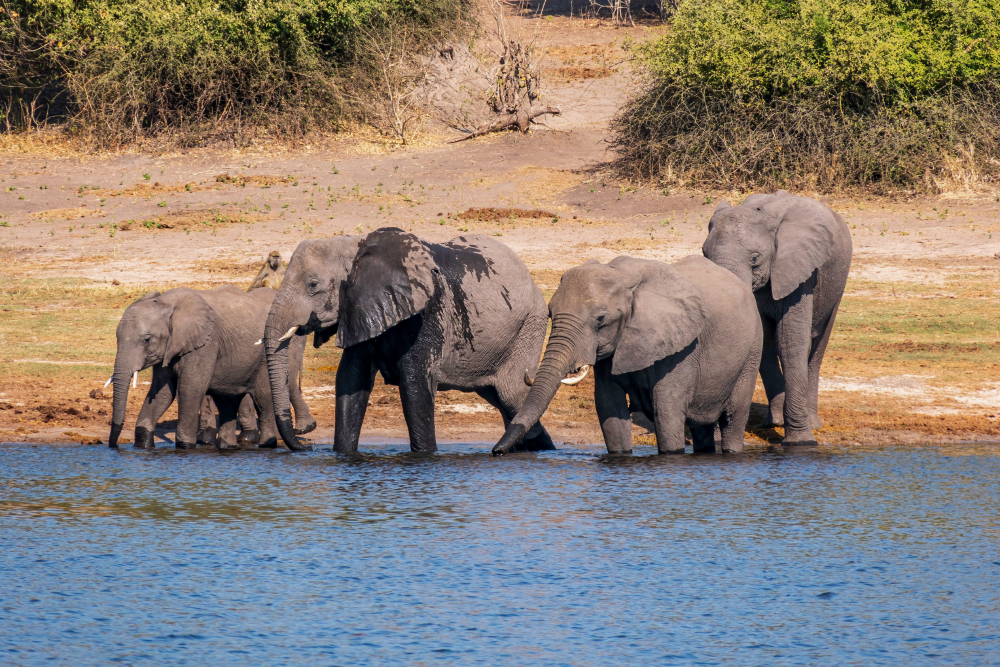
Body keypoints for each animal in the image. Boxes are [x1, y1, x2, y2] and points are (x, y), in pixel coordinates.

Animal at [109, 286, 312, 448]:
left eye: (147, 339)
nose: (113, 446)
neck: (167, 304)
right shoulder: (168, 349)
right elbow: (162, 393)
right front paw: (143, 444)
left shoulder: (205, 344)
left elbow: (190, 389)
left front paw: (185, 445)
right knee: (227, 403)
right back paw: (227, 446)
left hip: (267, 356)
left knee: (263, 399)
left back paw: (268, 444)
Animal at [266, 228, 556, 454]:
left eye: (313, 285)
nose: (305, 446)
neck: (353, 246)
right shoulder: (360, 308)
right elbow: (351, 380)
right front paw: (343, 454)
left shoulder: (426, 313)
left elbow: (414, 383)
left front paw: (424, 456)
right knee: (504, 400)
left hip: (529, 325)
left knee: (513, 394)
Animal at [496, 253, 760, 456]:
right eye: (550, 313)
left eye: (601, 319)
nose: (496, 451)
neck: (624, 277)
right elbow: (609, 406)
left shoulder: (683, 348)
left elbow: (667, 408)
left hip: (752, 351)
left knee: (734, 416)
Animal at [704, 190, 852, 446]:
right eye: (704, 255)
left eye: (755, 258)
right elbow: (764, 342)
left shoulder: (799, 272)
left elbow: (791, 343)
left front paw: (800, 443)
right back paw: (776, 422)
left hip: (837, 283)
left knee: (817, 346)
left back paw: (812, 423)